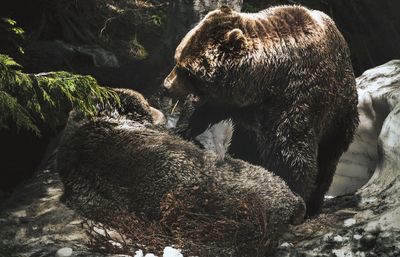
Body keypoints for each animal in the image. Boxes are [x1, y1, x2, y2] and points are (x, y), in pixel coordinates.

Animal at [162, 5, 360, 215]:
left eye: (187, 71)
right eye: (177, 58)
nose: (166, 86)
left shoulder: (292, 99)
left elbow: (291, 154)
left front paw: (290, 192)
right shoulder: (230, 101)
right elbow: (200, 112)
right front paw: (180, 130)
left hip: (339, 116)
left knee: (327, 160)